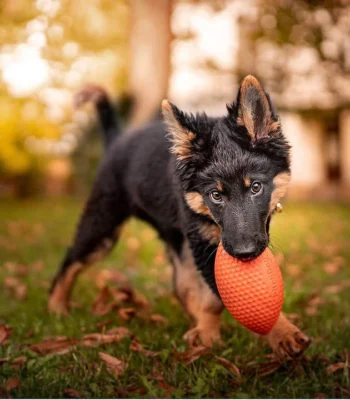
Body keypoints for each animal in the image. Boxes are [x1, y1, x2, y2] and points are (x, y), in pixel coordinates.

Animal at [48, 75, 308, 360]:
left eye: (256, 188)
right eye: (216, 195)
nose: (245, 253)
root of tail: (117, 141)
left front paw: (209, 331)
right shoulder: (204, 244)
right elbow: (219, 296)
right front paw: (277, 332)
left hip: (173, 238)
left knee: (182, 285)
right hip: (103, 225)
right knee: (71, 260)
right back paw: (56, 306)